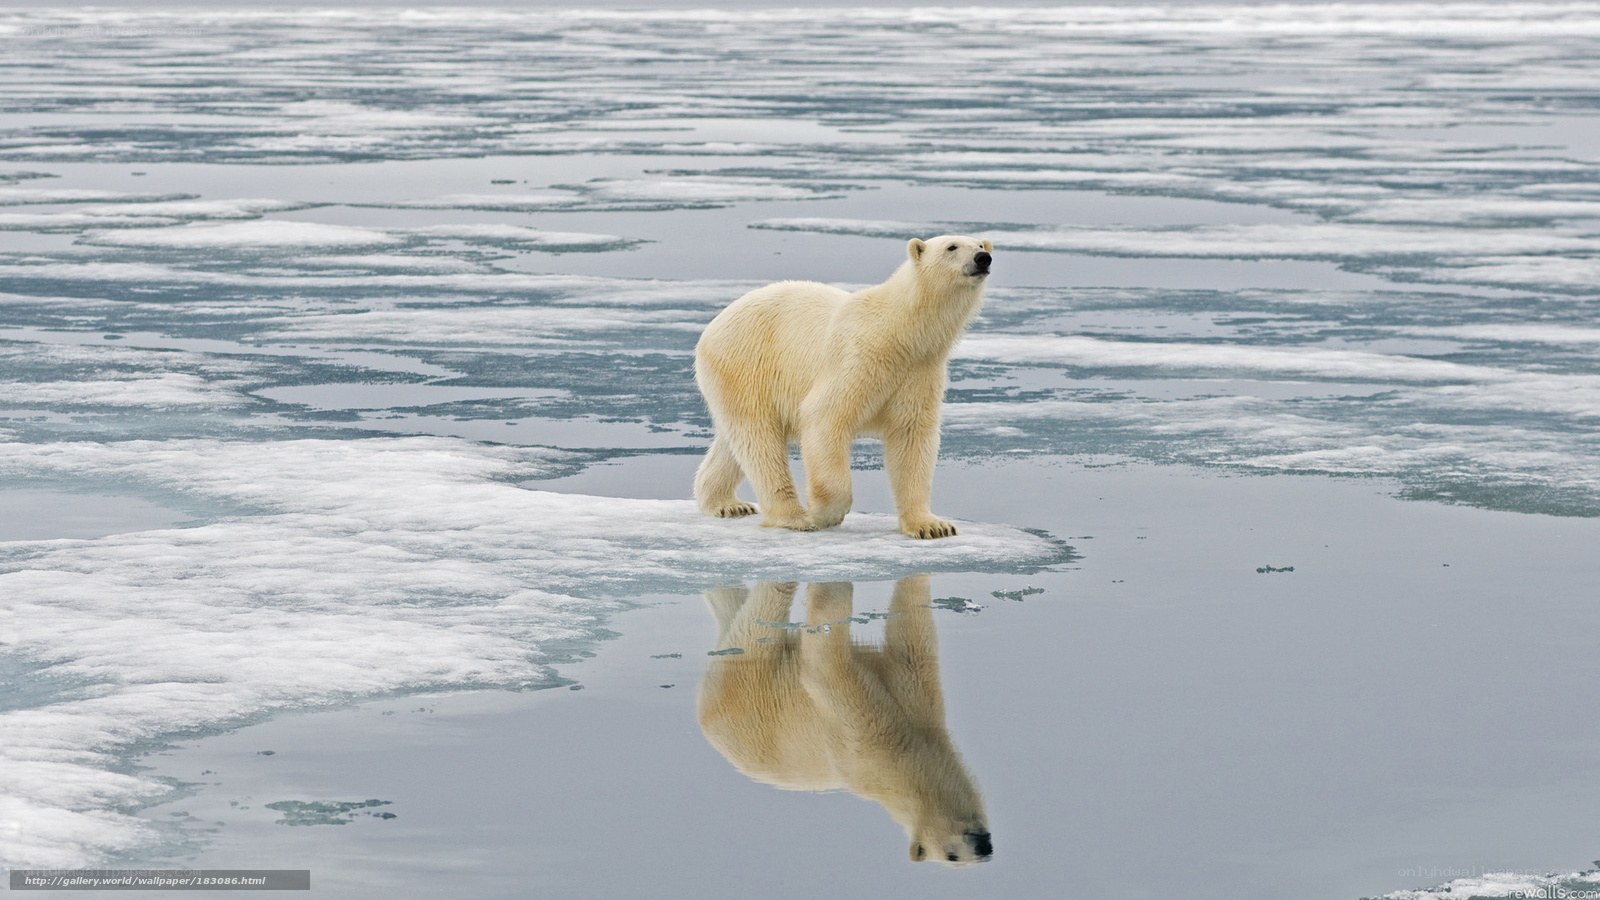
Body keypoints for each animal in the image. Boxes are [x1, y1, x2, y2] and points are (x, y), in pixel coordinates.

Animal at [693, 235, 993, 539]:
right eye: (951, 247)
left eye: (980, 245)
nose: (983, 259)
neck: (900, 332)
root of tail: (712, 327)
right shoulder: (859, 358)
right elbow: (824, 416)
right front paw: (825, 514)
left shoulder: (920, 371)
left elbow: (911, 437)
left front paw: (932, 526)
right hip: (746, 363)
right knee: (759, 439)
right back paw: (794, 517)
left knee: (734, 442)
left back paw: (727, 504)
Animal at [696, 576, 994, 866]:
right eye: (951, 855)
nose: (982, 846)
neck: (904, 757)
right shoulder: (862, 738)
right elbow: (823, 665)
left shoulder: (914, 699)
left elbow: (909, 635)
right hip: (747, 686)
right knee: (764, 616)